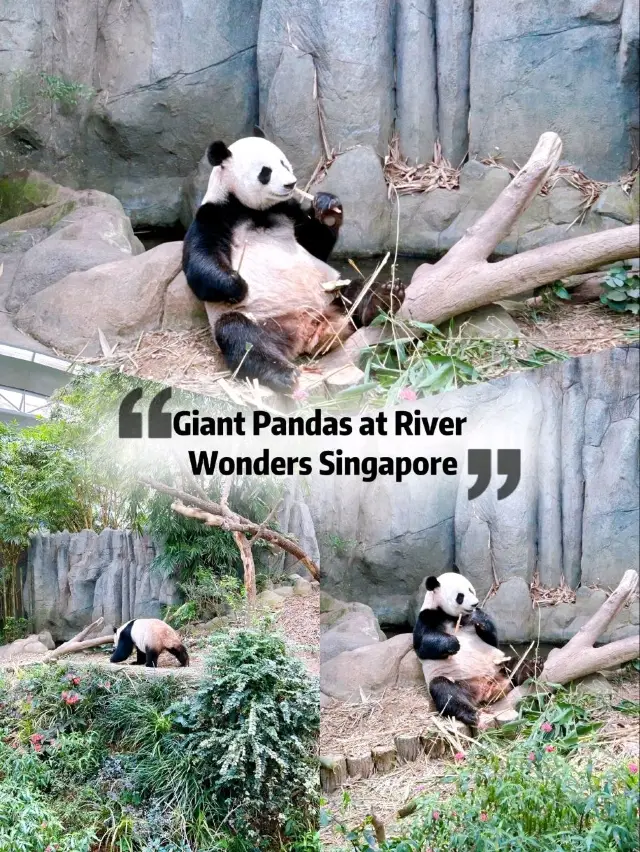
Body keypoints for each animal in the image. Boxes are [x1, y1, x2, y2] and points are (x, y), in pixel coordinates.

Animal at [182, 128, 405, 392]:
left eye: (284, 163)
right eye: (265, 171)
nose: (291, 183)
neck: (254, 210)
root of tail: (309, 327)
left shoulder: (288, 210)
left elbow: (314, 245)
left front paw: (327, 208)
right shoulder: (214, 215)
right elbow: (200, 262)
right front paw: (237, 285)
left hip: (331, 293)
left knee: (358, 289)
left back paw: (385, 298)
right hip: (261, 320)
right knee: (242, 337)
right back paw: (283, 373)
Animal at [413, 572, 534, 728]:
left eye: (471, 590)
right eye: (460, 596)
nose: (475, 604)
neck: (452, 617)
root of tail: (486, 689)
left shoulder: (472, 620)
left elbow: (493, 639)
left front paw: (481, 621)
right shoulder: (427, 617)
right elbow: (423, 645)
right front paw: (452, 643)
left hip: (499, 665)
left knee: (516, 662)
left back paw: (532, 668)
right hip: (456, 680)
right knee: (446, 691)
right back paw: (471, 714)